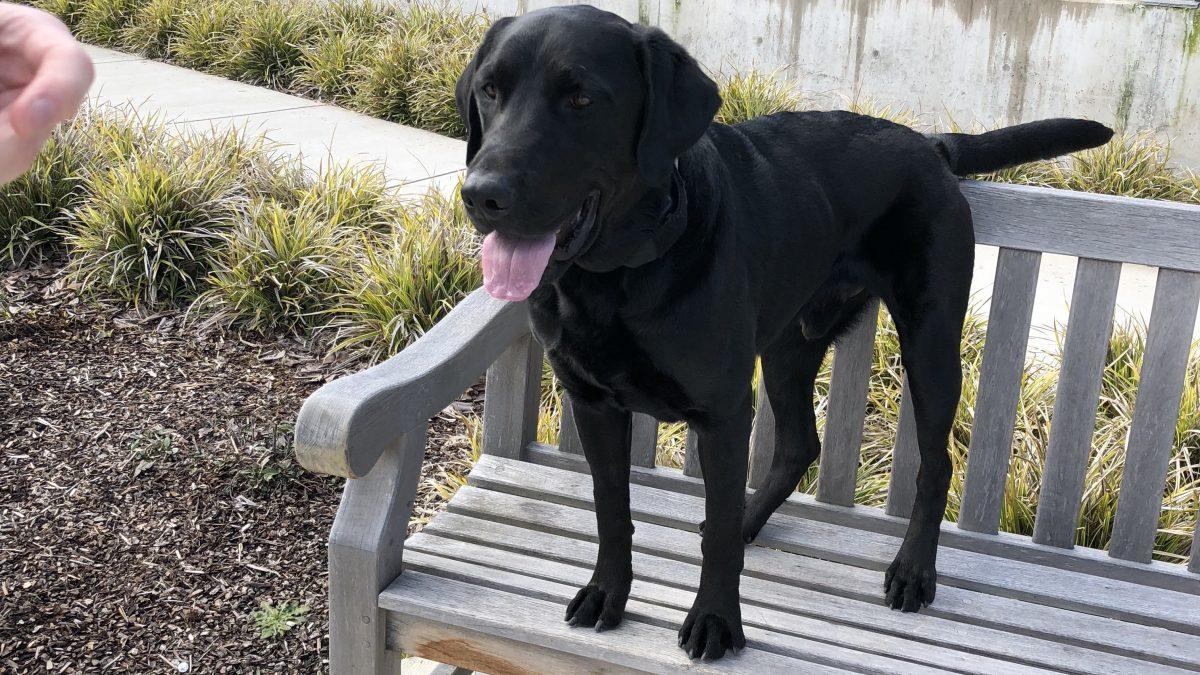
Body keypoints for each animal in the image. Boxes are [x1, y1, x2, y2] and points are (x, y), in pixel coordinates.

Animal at [453, 3, 1108, 658]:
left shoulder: (722, 412)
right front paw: (606, 594)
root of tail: (928, 141)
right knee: (795, 448)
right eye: (489, 90)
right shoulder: (592, 403)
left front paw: (716, 619)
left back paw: (913, 570)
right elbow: (611, 511)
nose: (481, 195)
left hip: (931, 342)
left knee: (934, 462)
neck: (618, 278)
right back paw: (749, 517)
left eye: (582, 98)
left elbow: (714, 538)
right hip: (791, 348)